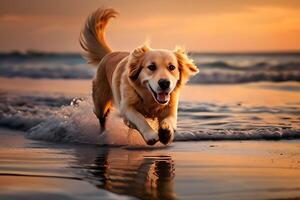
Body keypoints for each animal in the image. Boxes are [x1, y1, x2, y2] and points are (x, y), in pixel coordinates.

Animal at [79, 7, 199, 145]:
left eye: (172, 67)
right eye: (151, 67)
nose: (164, 83)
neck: (149, 99)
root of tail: (110, 54)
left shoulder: (171, 106)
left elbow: (169, 119)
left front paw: (166, 132)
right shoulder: (126, 108)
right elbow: (139, 118)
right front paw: (150, 134)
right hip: (100, 101)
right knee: (102, 117)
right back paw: (102, 135)